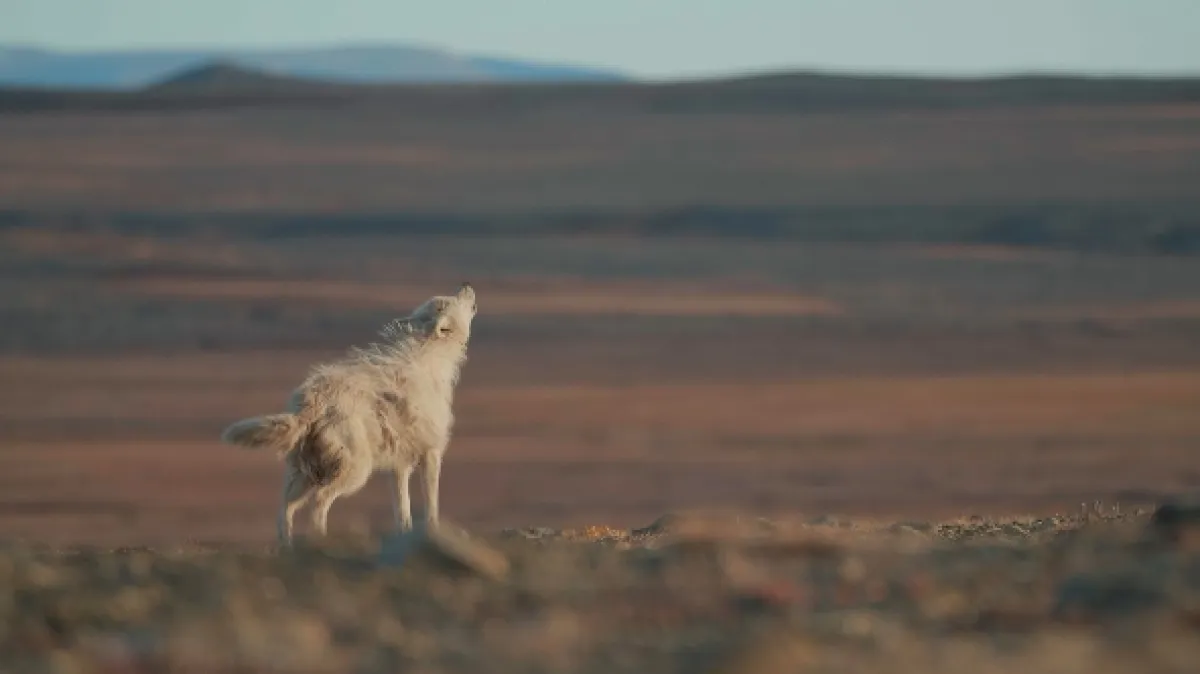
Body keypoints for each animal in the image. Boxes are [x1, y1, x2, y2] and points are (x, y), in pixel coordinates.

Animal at [221, 282, 477, 544]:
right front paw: (434, 532)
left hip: (305, 473)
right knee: (319, 502)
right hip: (353, 470)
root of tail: (312, 400)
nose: (466, 284)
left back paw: (288, 546)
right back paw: (320, 541)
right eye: (455, 300)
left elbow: (402, 509)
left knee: (285, 509)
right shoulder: (431, 453)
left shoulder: (399, 464)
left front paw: (405, 535)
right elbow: (431, 505)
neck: (429, 355)